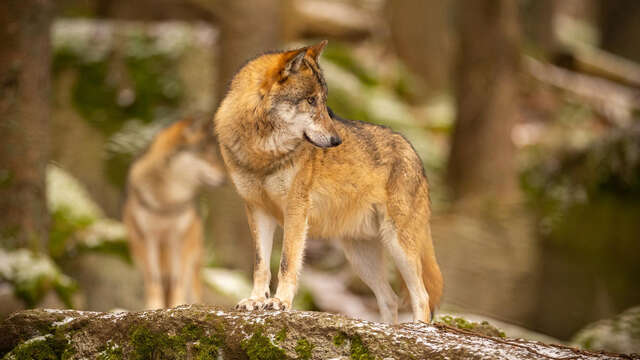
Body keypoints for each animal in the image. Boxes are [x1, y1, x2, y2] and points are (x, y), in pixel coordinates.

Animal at [124, 116, 226, 310]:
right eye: (204, 154)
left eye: (214, 154)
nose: (224, 179)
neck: (167, 201)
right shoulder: (148, 237)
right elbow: (153, 280)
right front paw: (153, 307)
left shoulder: (178, 238)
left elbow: (177, 279)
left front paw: (178, 305)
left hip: (193, 258)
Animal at [212, 40, 442, 322]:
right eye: (311, 100)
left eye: (324, 102)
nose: (336, 141)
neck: (262, 153)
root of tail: (414, 152)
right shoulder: (256, 210)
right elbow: (260, 264)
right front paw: (255, 300)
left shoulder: (296, 210)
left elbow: (287, 261)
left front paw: (280, 302)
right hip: (360, 256)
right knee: (390, 298)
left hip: (398, 245)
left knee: (422, 297)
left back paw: (415, 329)